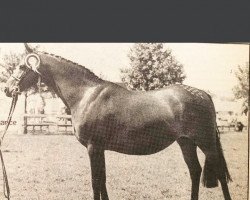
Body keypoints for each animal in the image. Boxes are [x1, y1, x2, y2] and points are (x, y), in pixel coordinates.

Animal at [3, 45, 232, 200]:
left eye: (22, 66)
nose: (7, 89)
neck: (86, 95)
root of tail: (203, 94)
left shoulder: (93, 147)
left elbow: (96, 182)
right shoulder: (100, 148)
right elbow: (102, 180)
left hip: (206, 143)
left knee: (220, 174)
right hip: (186, 142)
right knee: (195, 171)